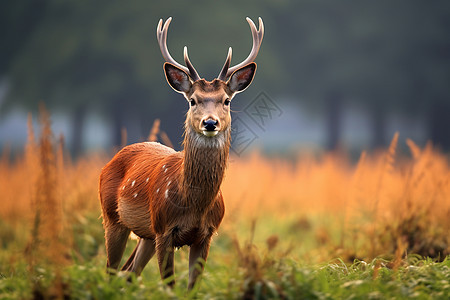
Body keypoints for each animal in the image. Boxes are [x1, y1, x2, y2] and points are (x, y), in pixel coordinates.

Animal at [96, 15, 262, 288]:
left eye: (226, 101)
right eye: (192, 100)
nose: (210, 123)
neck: (194, 205)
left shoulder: (206, 234)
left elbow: (192, 287)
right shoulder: (164, 229)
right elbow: (169, 285)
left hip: (146, 234)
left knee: (129, 272)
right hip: (112, 217)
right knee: (111, 271)